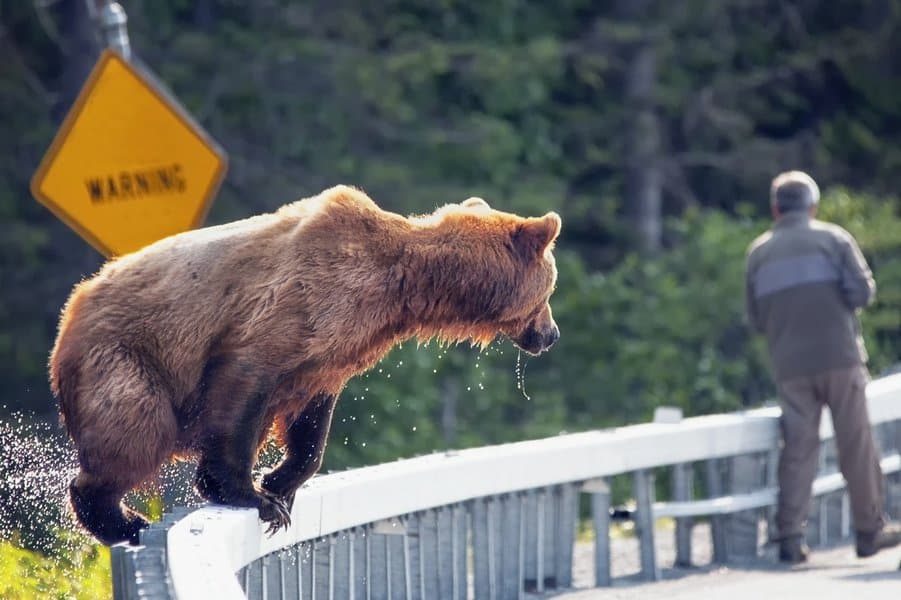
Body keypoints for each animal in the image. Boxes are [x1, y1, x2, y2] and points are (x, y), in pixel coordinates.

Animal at [49, 185, 561, 545]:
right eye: (550, 288)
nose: (551, 334)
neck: (399, 287)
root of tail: (68, 317)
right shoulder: (292, 306)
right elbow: (244, 383)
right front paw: (253, 496)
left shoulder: (334, 351)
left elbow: (311, 422)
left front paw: (281, 483)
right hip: (125, 358)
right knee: (136, 430)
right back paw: (125, 519)